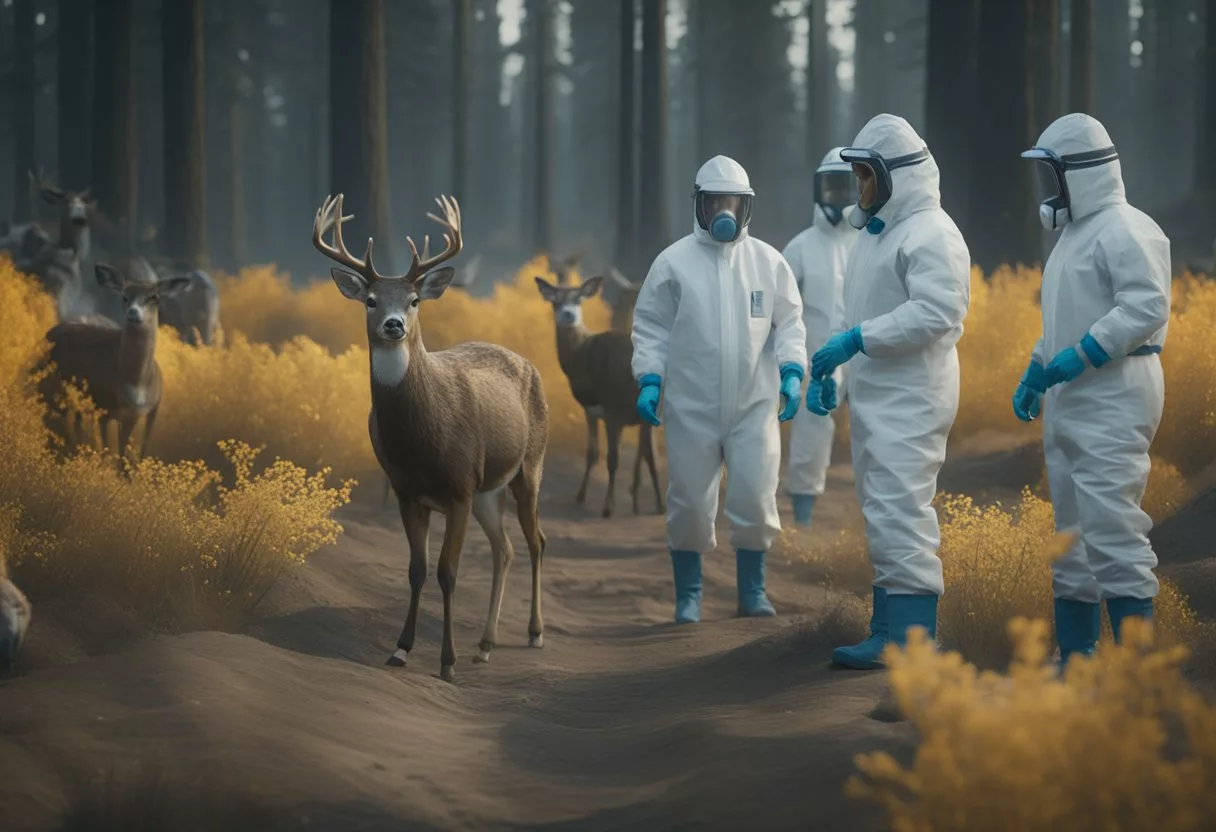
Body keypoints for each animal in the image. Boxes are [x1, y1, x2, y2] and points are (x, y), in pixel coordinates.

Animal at [33, 257, 192, 462]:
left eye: (154, 297)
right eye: (124, 296)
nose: (133, 312)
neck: (135, 383)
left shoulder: (139, 412)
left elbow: (128, 452)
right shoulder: (105, 407)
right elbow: (110, 449)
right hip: (51, 386)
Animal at [311, 189, 549, 681]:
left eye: (415, 299)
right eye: (370, 300)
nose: (394, 324)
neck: (420, 442)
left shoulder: (458, 488)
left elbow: (448, 572)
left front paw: (447, 661)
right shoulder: (408, 492)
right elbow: (416, 570)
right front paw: (400, 649)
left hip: (529, 466)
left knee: (536, 540)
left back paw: (534, 633)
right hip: (487, 491)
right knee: (505, 548)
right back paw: (485, 645)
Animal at [535, 272, 661, 520]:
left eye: (578, 299)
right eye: (555, 301)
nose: (568, 314)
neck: (579, 354)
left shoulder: (603, 411)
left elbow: (603, 455)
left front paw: (605, 506)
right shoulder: (599, 412)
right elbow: (596, 453)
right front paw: (581, 496)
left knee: (620, 458)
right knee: (650, 455)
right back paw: (656, 505)